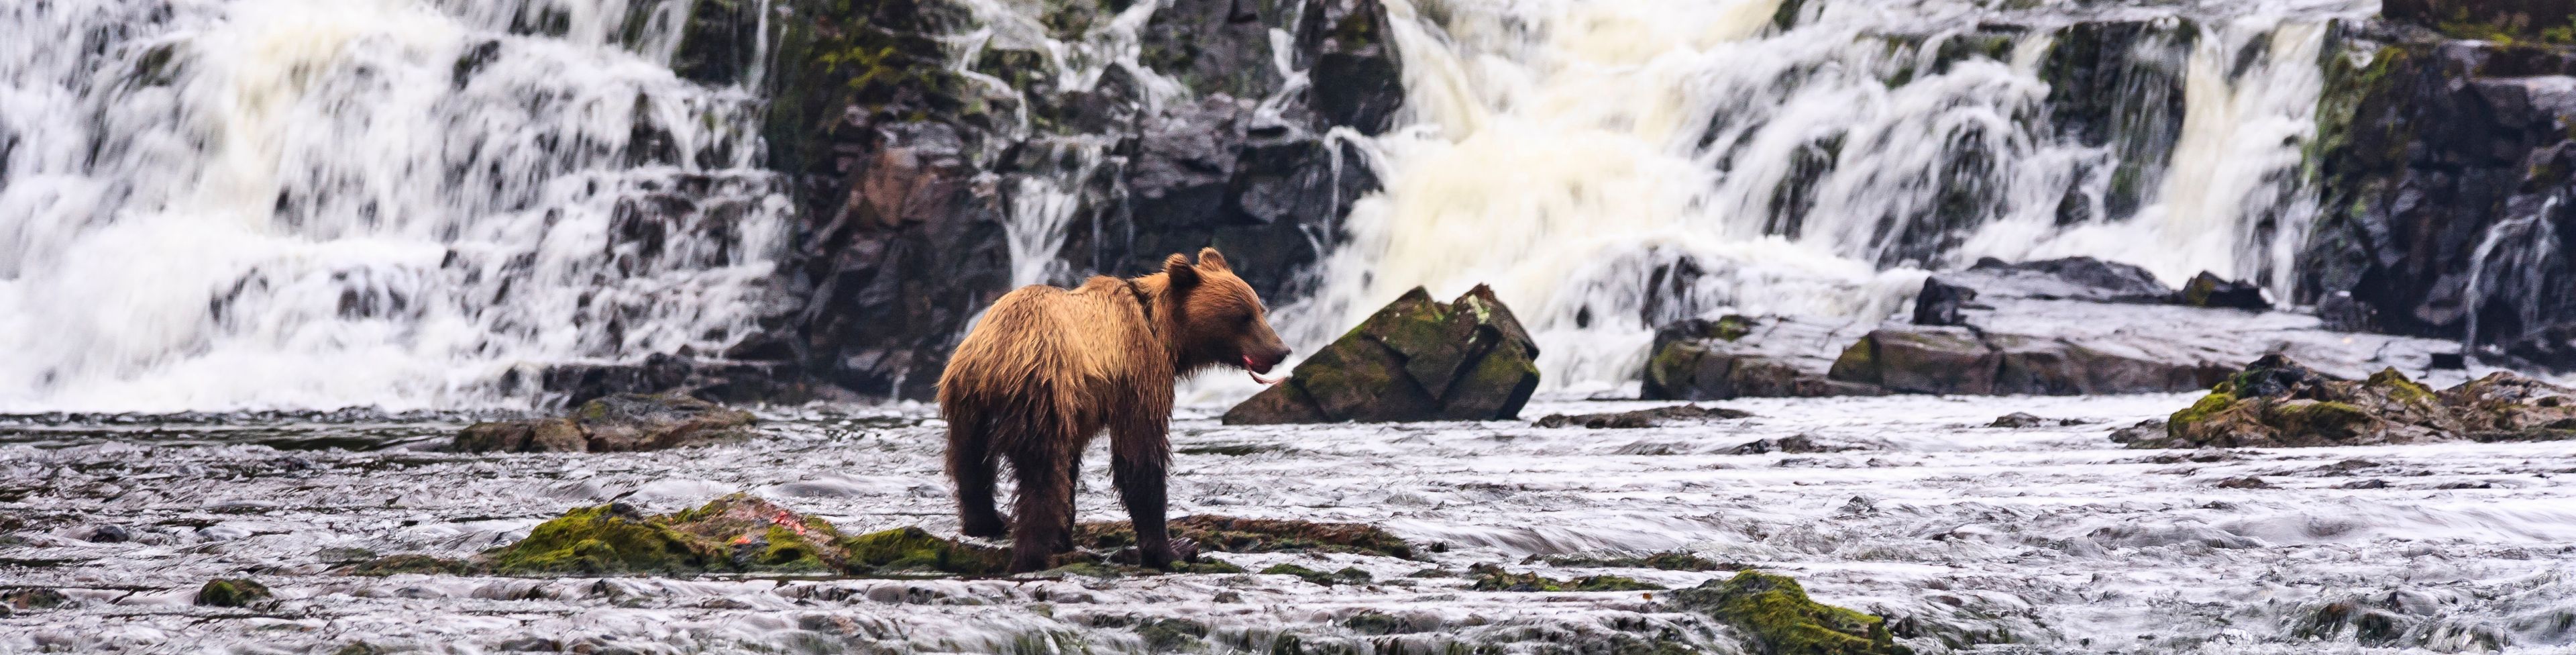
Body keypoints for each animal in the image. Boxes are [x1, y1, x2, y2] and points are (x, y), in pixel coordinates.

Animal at [937, 247, 1293, 572]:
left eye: (1259, 309)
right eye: (1243, 316)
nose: (1282, 350)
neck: (1162, 332)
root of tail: (996, 358)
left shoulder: (1080, 408)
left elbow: (1075, 465)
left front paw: (1065, 535)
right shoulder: (1138, 377)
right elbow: (1140, 456)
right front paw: (1174, 548)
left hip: (969, 402)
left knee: (970, 462)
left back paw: (987, 522)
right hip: (1041, 391)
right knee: (1041, 476)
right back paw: (1031, 553)